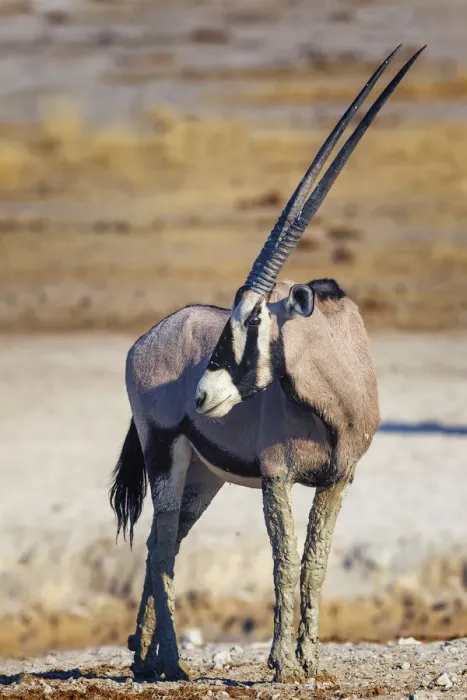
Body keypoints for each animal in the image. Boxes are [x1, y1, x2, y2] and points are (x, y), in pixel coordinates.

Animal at [110, 46, 424, 683]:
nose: (202, 395)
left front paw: (310, 658)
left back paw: (144, 657)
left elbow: (315, 563)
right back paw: (170, 662)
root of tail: (144, 340)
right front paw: (283, 664)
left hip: (203, 476)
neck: (337, 392)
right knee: (161, 547)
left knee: (164, 543)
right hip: (165, 452)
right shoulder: (277, 477)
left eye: (253, 319)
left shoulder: (338, 480)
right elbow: (283, 561)